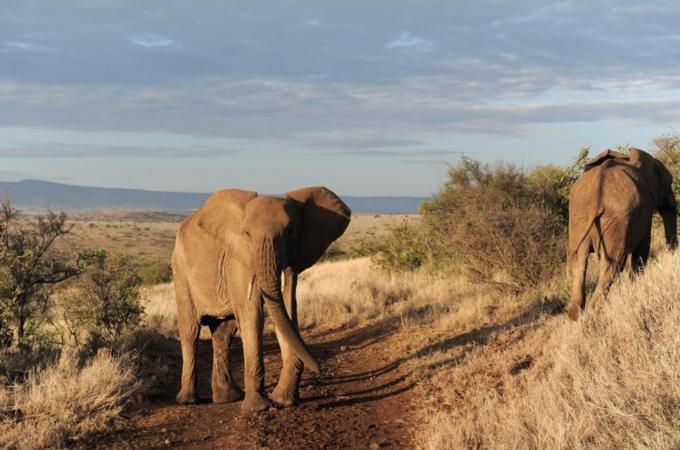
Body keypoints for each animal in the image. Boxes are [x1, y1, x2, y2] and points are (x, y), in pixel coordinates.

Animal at [171, 186, 351, 411]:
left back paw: (228, 397)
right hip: (180, 271)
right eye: (247, 233)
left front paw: (284, 400)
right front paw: (259, 407)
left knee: (224, 332)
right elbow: (253, 315)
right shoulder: (238, 260)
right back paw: (188, 401)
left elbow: (287, 313)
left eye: (291, 232)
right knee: (190, 331)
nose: (317, 369)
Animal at [567, 148, 677, 320]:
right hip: (616, 218)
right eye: (668, 185)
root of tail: (596, 194)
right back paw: (594, 312)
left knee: (579, 261)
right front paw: (635, 286)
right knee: (613, 264)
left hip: (580, 215)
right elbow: (643, 247)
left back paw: (575, 314)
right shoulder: (643, 210)